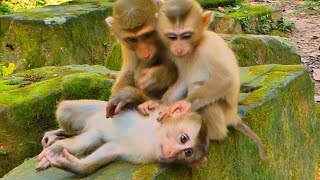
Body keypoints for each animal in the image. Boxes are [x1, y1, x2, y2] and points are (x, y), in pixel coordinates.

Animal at [35, 99, 210, 176]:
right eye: (183, 138)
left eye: (188, 153)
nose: (172, 152)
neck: (153, 137)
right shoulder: (158, 113)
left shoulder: (139, 154)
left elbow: (110, 150)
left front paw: (75, 166)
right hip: (97, 109)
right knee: (65, 110)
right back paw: (56, 137)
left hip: (94, 133)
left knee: (85, 141)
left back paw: (57, 146)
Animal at [138, 0, 268, 161]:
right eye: (173, 37)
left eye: (186, 36)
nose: (179, 48)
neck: (195, 47)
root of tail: (233, 115)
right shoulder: (174, 54)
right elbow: (183, 80)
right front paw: (159, 103)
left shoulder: (209, 49)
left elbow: (226, 80)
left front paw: (183, 105)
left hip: (224, 115)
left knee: (200, 90)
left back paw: (212, 135)